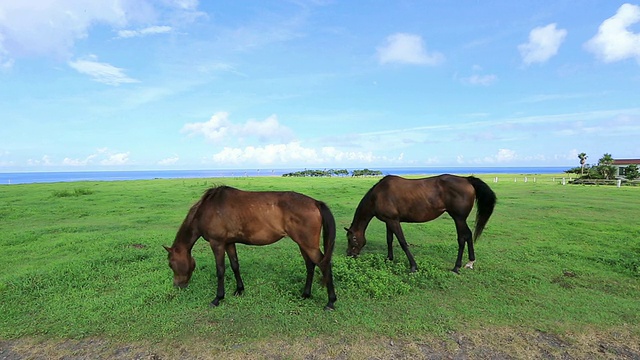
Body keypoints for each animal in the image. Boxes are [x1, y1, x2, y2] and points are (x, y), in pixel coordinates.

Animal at [162, 186, 338, 310]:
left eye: (171, 264)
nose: (178, 285)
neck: (207, 209)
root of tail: (315, 203)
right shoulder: (229, 243)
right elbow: (235, 265)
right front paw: (239, 289)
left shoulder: (217, 243)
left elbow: (220, 270)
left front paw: (218, 298)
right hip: (303, 244)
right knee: (311, 265)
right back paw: (306, 294)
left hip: (308, 245)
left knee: (324, 264)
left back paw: (330, 302)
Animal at [348, 174, 498, 272]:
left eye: (352, 239)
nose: (349, 254)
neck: (378, 195)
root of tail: (466, 179)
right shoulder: (389, 221)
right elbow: (389, 240)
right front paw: (389, 259)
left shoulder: (394, 221)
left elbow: (402, 242)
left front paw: (413, 267)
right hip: (460, 219)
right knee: (468, 235)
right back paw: (470, 262)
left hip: (458, 218)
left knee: (462, 237)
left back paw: (457, 267)